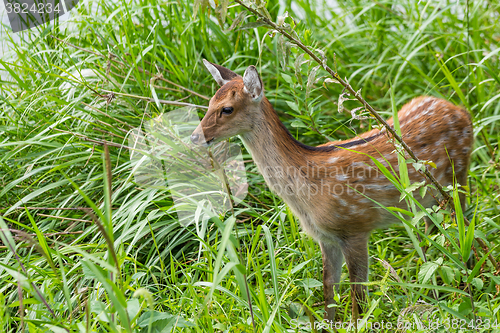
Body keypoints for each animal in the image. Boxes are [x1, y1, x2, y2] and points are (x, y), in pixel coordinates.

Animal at [190, 59, 472, 326]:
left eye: (227, 108)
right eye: (209, 103)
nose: (194, 137)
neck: (307, 190)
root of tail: (462, 111)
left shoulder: (355, 227)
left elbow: (358, 297)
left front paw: (359, 324)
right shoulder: (325, 237)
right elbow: (329, 291)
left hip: (456, 181)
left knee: (462, 225)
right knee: (430, 234)